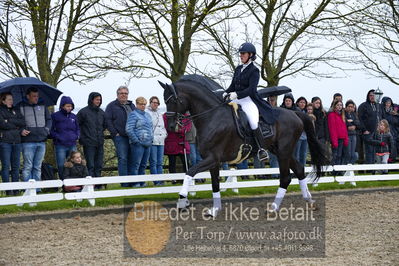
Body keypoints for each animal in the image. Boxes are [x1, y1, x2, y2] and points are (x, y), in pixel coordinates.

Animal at [158, 76, 330, 217]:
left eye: (172, 100)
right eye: (164, 101)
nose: (171, 126)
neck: (212, 117)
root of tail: (295, 113)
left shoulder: (212, 158)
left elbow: (190, 172)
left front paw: (182, 201)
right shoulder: (212, 160)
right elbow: (215, 184)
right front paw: (214, 210)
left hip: (283, 151)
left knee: (286, 177)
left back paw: (273, 208)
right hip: (280, 150)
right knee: (299, 170)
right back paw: (309, 201)